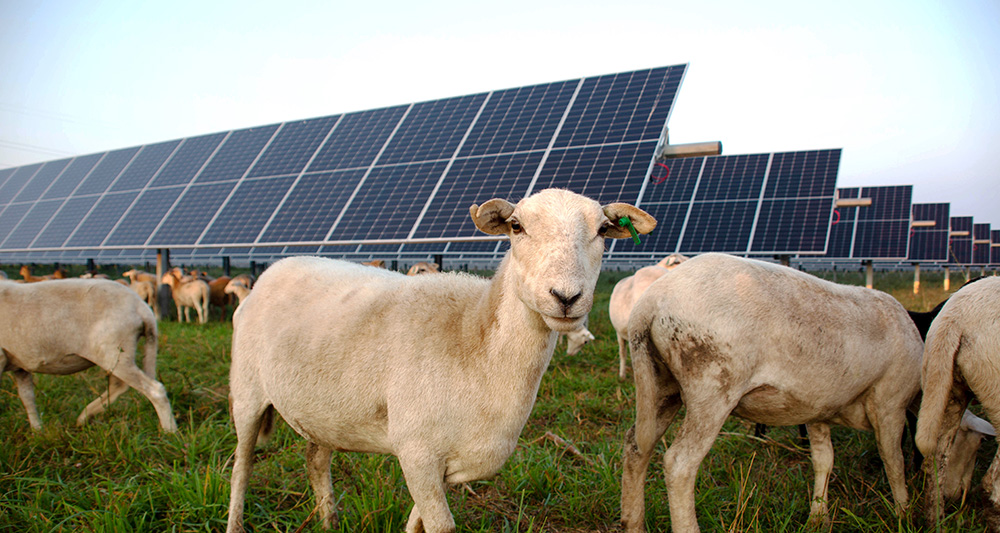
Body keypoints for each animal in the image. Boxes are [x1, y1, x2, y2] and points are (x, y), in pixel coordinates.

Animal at [0, 278, 178, 432]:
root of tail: (141, 307)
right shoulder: (20, 365)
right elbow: (27, 398)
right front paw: (37, 431)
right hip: (114, 354)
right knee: (118, 385)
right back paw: (84, 417)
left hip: (113, 350)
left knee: (154, 389)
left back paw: (170, 431)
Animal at [225, 189, 656, 532]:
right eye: (516, 227)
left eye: (603, 230)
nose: (566, 297)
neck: (474, 338)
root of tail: (274, 270)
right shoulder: (416, 450)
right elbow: (441, 526)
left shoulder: (445, 465)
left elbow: (417, 523)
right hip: (246, 392)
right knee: (241, 467)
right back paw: (236, 521)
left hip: (323, 412)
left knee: (316, 460)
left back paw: (328, 520)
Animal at [620, 251, 924, 528]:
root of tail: (651, 302)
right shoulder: (890, 402)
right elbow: (893, 461)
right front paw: (904, 514)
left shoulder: (817, 409)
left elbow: (824, 460)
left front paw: (818, 516)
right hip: (712, 385)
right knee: (679, 464)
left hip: (661, 384)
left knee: (636, 446)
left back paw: (633, 523)